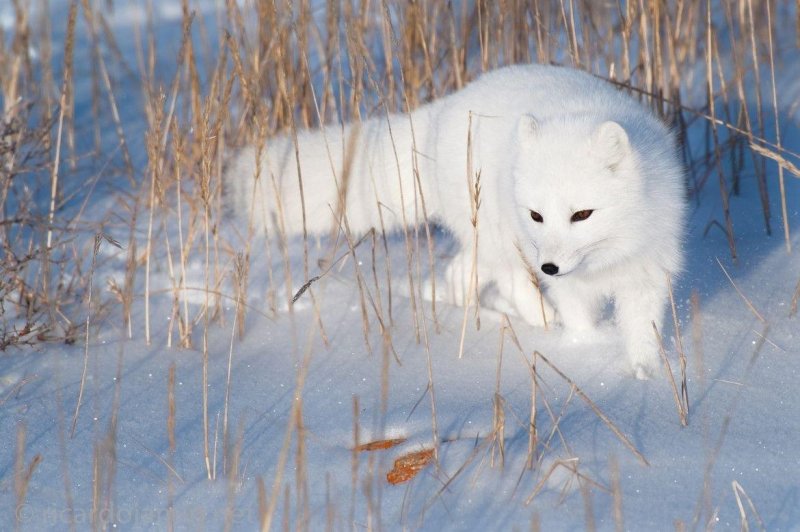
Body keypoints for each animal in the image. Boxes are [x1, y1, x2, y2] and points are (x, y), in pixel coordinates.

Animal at [227, 63, 688, 378]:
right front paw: (584, 351)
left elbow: (643, 329)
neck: (606, 258)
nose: (549, 267)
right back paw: (536, 317)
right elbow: (579, 318)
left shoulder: (646, 273)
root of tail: (443, 110)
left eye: (582, 214)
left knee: (462, 272)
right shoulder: (564, 280)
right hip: (498, 234)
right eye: (537, 215)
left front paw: (644, 374)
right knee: (508, 277)